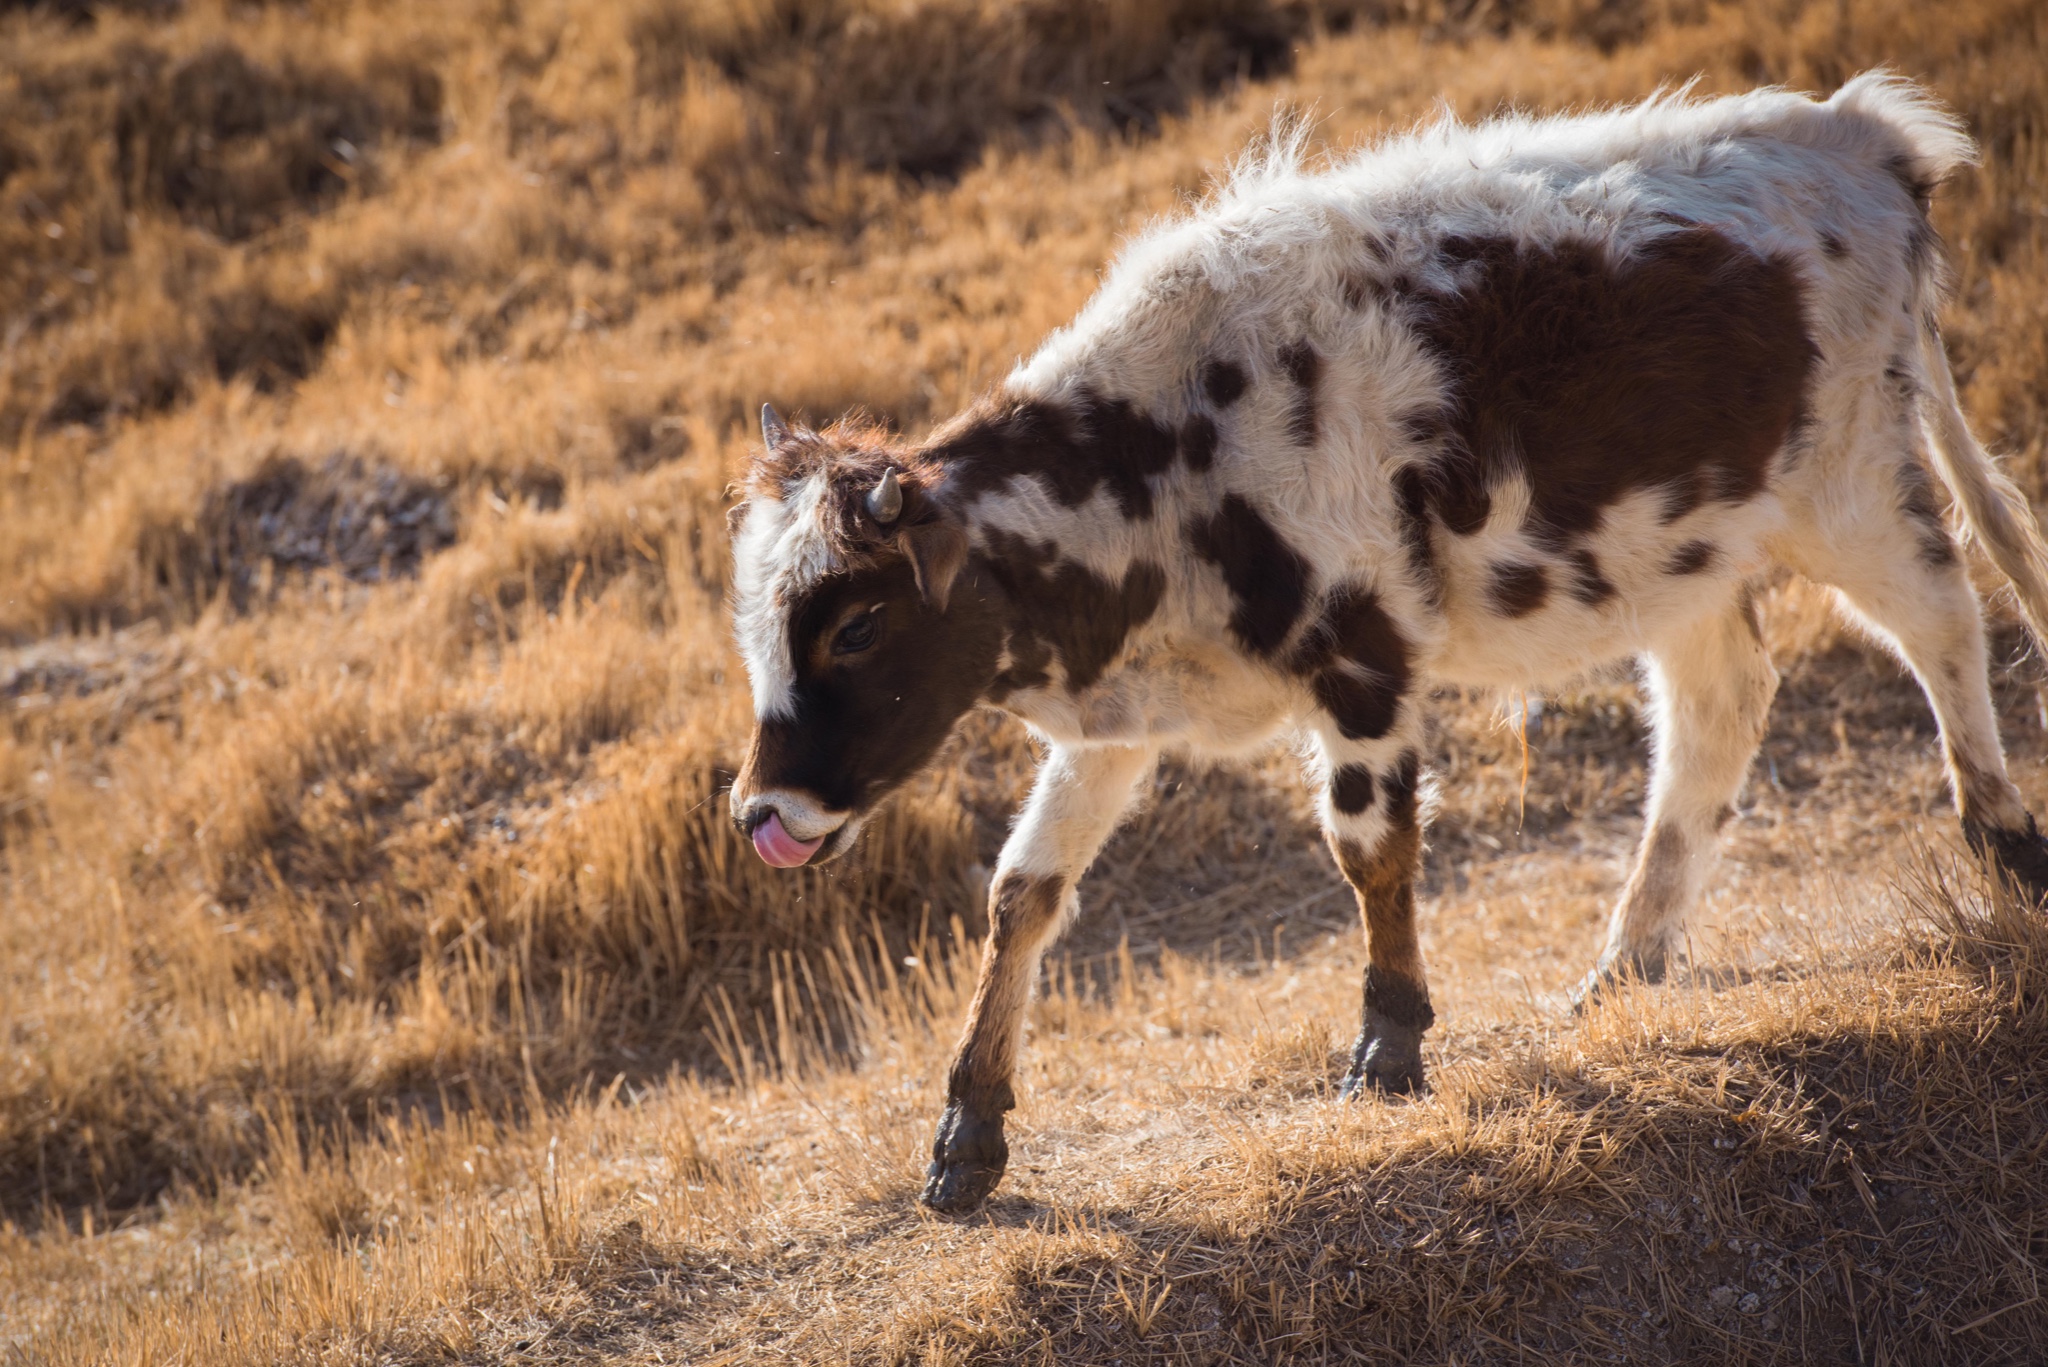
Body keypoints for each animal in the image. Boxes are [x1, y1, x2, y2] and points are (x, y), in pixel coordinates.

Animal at [720, 72, 2048, 1205]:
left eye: (858, 623)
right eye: (757, 628)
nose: (759, 810)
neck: (1168, 449)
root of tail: (1858, 133)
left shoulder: (1361, 659)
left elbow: (1369, 846)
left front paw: (1389, 1044)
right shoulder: (1113, 722)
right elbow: (1024, 889)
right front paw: (967, 1130)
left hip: (1849, 485)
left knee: (1944, 621)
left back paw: (2000, 840)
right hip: (1680, 559)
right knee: (1716, 711)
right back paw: (1623, 963)